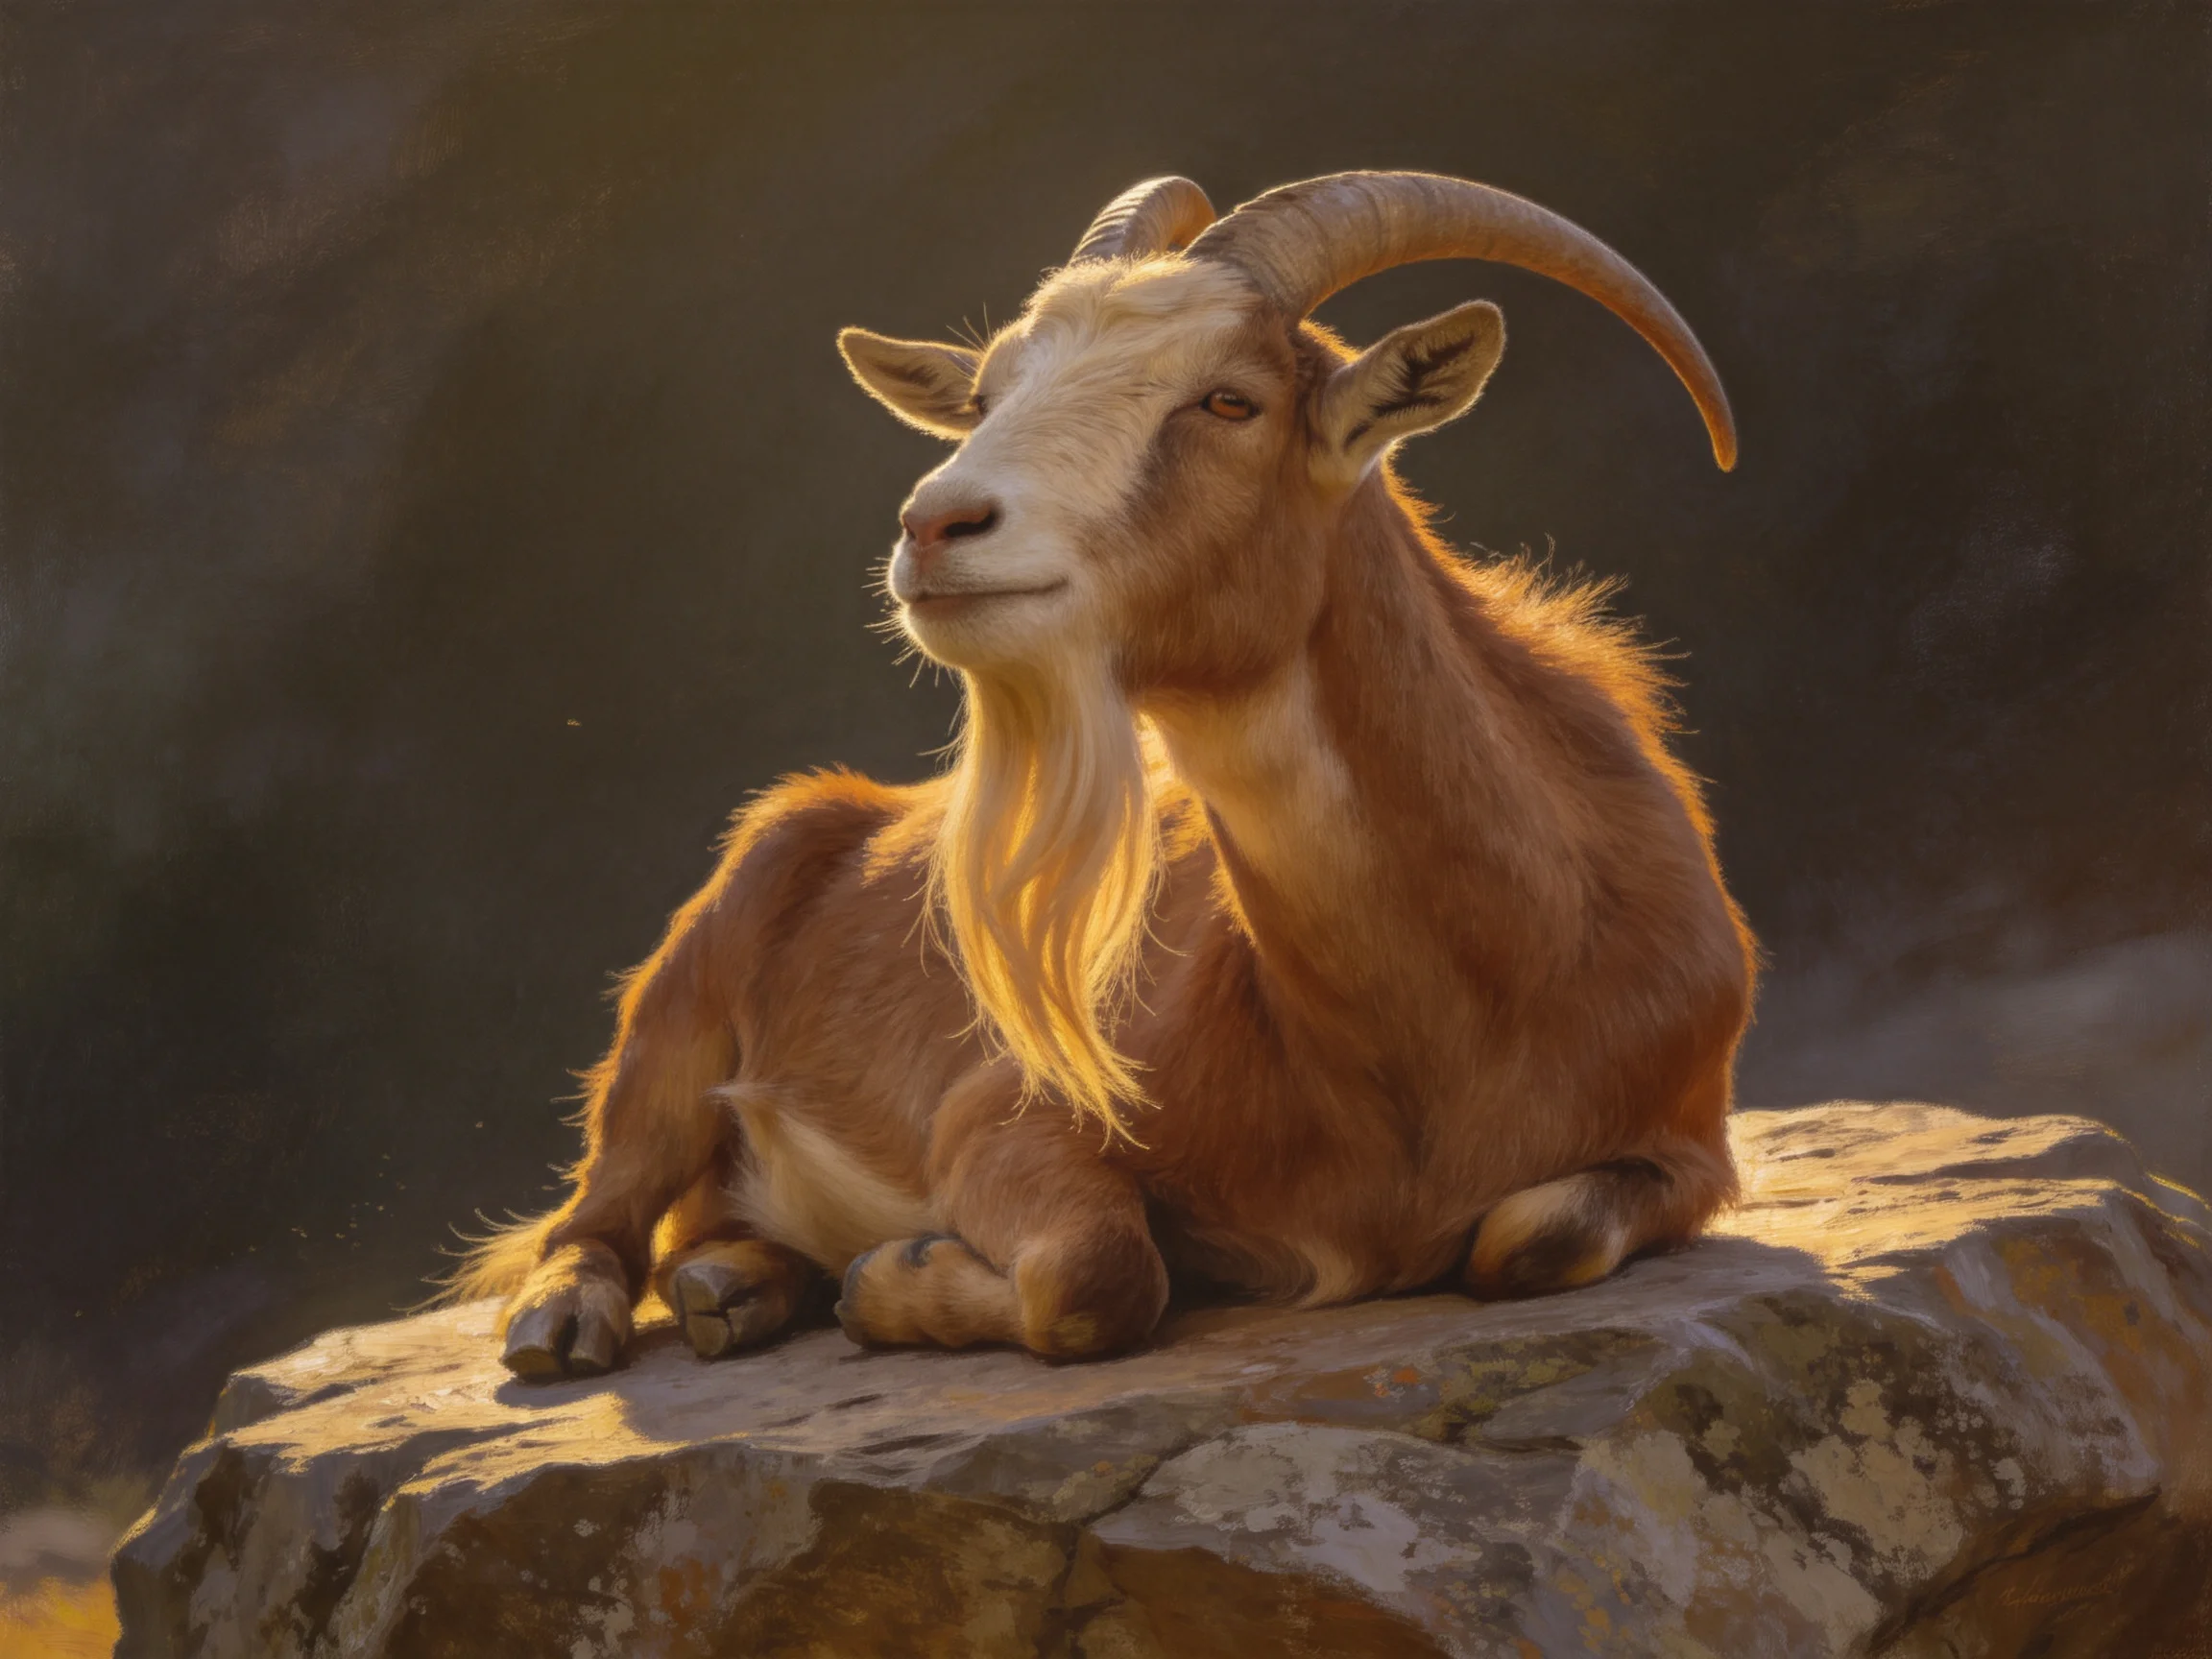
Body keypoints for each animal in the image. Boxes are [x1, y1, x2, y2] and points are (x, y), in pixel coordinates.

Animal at [454, 171, 1755, 1378]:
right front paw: (897, 1275)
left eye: (1230, 399)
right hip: (677, 1011)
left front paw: (873, 1276)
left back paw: (740, 1286)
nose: (937, 524)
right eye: (986, 394)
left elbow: (1534, 1237)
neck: (1492, 982)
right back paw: (573, 1322)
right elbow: (1102, 1271)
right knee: (602, 1209)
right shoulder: (1006, 1112)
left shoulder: (1689, 1144)